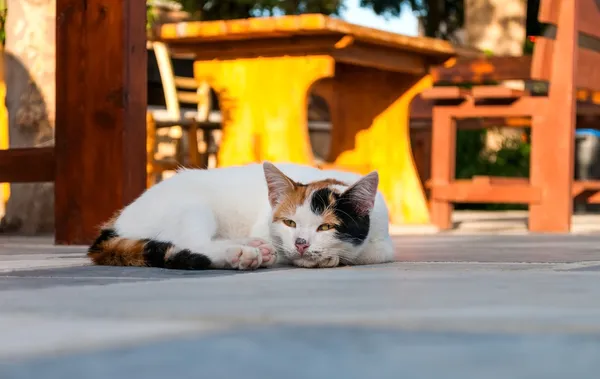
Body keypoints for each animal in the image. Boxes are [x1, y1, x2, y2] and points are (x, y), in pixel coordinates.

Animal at [86, 163, 396, 270]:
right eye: (290, 223)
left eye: (327, 226)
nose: (301, 243)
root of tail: (117, 222)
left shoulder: (383, 242)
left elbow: (375, 253)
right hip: (191, 206)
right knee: (192, 242)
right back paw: (241, 253)